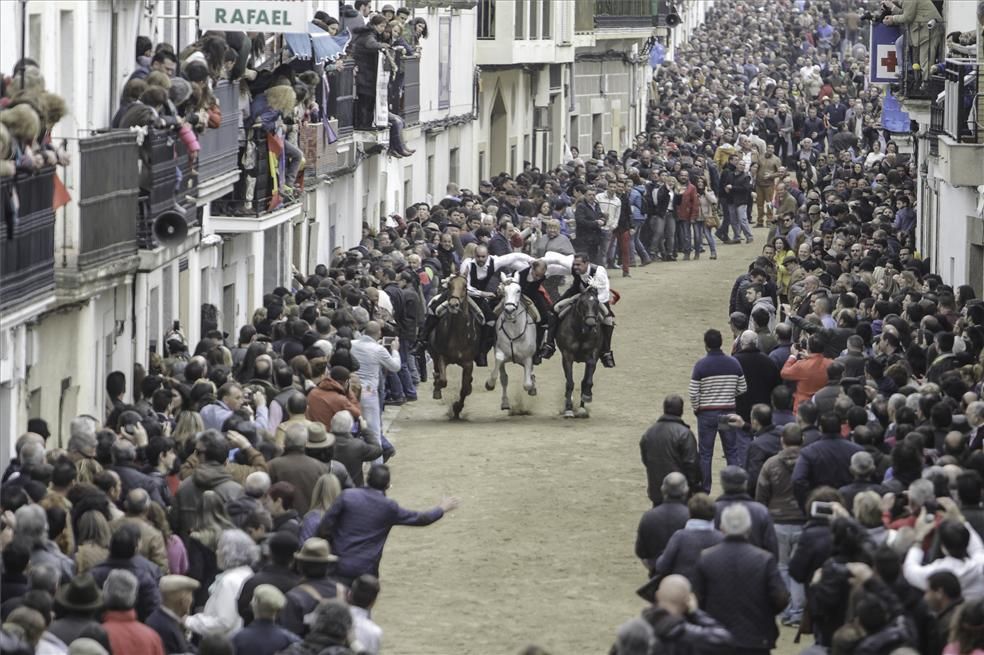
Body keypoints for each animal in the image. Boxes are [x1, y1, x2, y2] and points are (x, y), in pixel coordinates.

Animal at [428, 276, 482, 420]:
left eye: (465, 286)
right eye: (449, 286)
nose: (453, 305)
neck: (458, 334)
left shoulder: (468, 363)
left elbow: (464, 388)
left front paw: (457, 407)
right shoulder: (441, 356)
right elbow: (443, 380)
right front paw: (437, 385)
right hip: (433, 353)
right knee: (437, 371)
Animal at [484, 272, 540, 410]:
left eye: (518, 290)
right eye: (503, 291)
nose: (509, 310)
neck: (514, 329)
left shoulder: (528, 357)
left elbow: (527, 384)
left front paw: (532, 387)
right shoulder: (499, 352)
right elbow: (500, 370)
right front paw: (490, 384)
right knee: (504, 378)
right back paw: (505, 403)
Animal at [556, 280, 604, 418]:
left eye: (597, 302)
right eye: (582, 302)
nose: (591, 324)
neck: (580, 333)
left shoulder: (593, 354)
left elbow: (587, 380)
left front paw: (586, 398)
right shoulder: (567, 356)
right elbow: (569, 383)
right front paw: (568, 409)